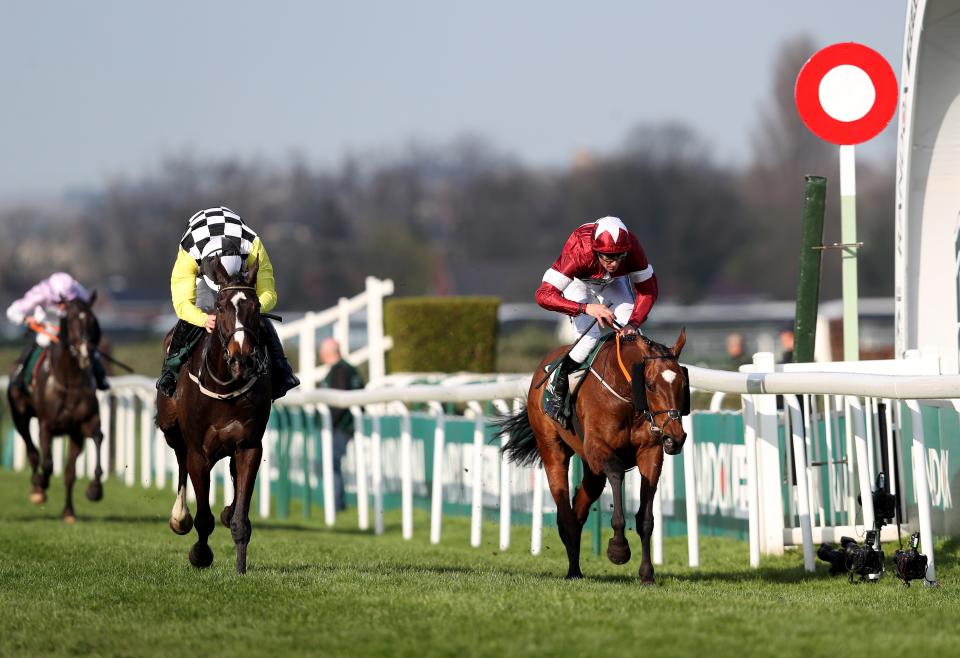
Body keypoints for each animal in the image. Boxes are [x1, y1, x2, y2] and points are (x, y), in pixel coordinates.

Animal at [6, 294, 106, 520]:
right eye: (71, 320)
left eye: (93, 321)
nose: (86, 352)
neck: (69, 382)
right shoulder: (47, 426)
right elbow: (48, 463)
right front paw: (41, 484)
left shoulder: (83, 425)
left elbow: (96, 440)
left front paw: (94, 490)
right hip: (20, 416)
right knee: (32, 452)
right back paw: (37, 488)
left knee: (67, 470)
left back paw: (68, 510)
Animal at [156, 254, 272, 572]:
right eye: (220, 307)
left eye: (256, 307)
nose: (242, 357)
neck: (225, 383)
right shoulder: (199, 452)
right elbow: (204, 517)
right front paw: (200, 555)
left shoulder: (249, 445)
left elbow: (240, 518)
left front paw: (240, 566)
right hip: (171, 429)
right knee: (179, 460)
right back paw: (179, 516)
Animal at [496, 330, 688, 580]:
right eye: (650, 385)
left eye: (683, 383)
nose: (676, 438)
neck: (625, 397)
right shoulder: (598, 447)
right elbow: (616, 473)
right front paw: (618, 548)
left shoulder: (651, 452)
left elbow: (646, 518)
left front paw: (647, 573)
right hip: (552, 449)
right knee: (565, 510)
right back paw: (573, 571)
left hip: (592, 470)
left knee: (578, 509)